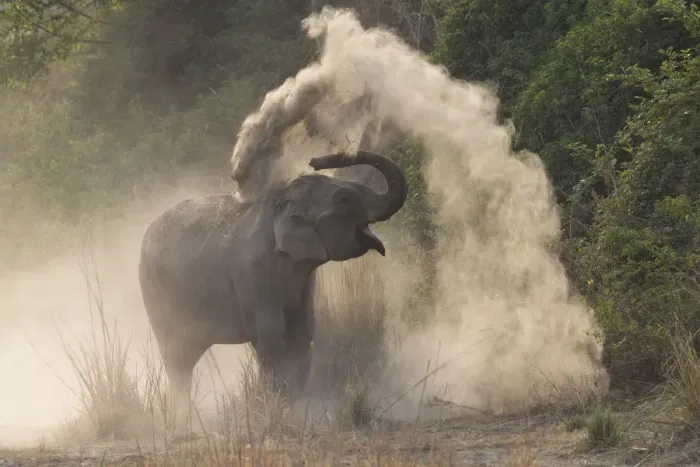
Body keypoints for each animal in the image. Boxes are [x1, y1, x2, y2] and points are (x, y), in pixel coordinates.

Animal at [137, 150, 408, 424]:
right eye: (344, 199)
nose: (316, 161)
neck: (281, 203)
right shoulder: (255, 271)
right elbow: (271, 336)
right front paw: (273, 408)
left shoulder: (303, 276)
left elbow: (302, 333)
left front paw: (293, 410)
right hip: (153, 288)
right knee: (175, 354)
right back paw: (182, 417)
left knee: (186, 356)